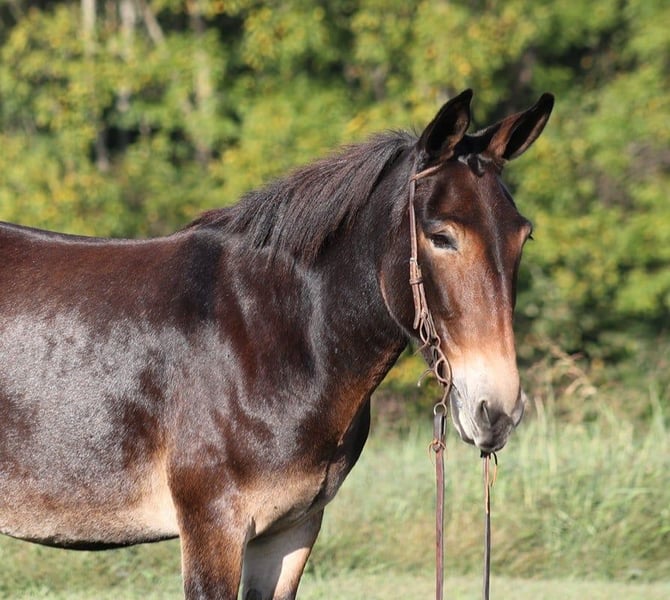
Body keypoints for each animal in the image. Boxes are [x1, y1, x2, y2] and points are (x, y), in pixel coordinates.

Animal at [0, 89, 553, 599]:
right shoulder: (214, 529)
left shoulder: (292, 530)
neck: (274, 337)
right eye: (441, 237)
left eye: (523, 236)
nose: (498, 413)